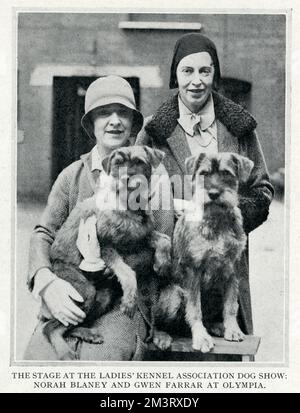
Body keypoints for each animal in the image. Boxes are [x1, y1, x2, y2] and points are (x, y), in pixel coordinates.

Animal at [158, 151, 254, 350]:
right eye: (203, 173)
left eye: (226, 173)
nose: (214, 194)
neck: (216, 220)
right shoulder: (193, 270)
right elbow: (195, 309)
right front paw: (201, 337)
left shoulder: (232, 270)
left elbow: (231, 305)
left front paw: (233, 329)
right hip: (174, 296)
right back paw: (160, 336)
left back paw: (217, 326)